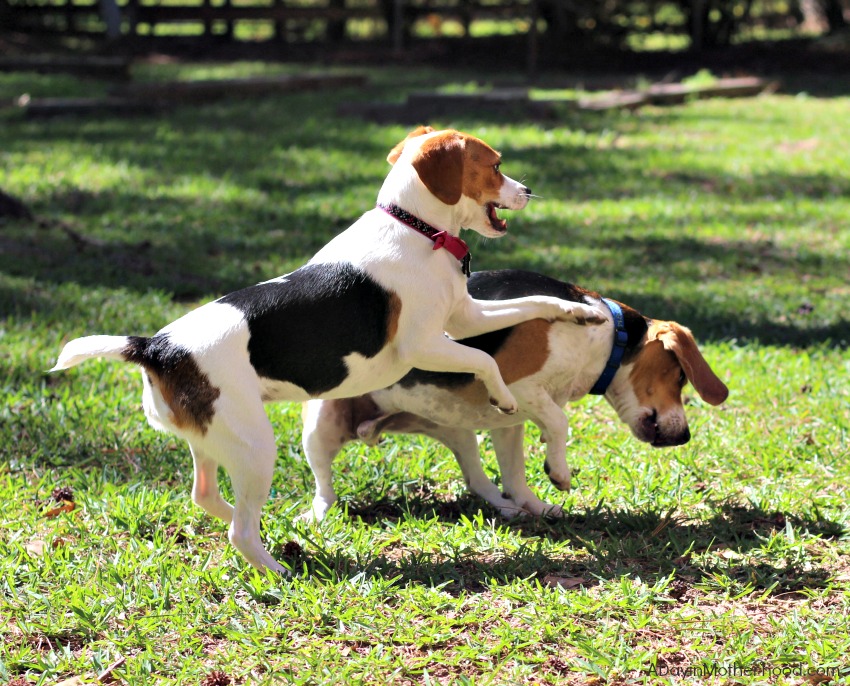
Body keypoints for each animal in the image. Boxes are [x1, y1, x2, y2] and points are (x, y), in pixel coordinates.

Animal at [51, 126, 604, 572]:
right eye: (496, 165)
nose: (529, 191)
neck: (414, 226)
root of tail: (156, 346)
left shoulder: (465, 317)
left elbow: (531, 303)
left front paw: (579, 311)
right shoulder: (423, 344)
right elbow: (485, 359)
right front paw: (504, 397)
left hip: (212, 440)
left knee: (205, 496)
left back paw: (261, 524)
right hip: (255, 446)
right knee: (239, 531)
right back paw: (278, 569)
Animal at [302, 268, 724, 520]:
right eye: (681, 376)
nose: (685, 436)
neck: (608, 335)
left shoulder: (510, 421)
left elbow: (516, 473)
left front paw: (535, 502)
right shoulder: (517, 385)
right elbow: (560, 421)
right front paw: (560, 472)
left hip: (460, 434)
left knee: (479, 482)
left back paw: (513, 510)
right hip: (319, 429)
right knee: (325, 489)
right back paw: (318, 515)